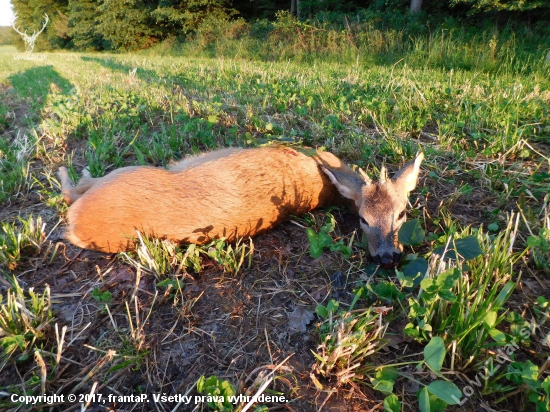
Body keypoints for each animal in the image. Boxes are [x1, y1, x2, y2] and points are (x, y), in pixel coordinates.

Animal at [58, 146, 424, 268]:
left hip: (125, 174)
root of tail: (77, 226)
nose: (387, 258)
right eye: (363, 219)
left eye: (401, 214)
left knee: (70, 191)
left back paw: (70, 172)